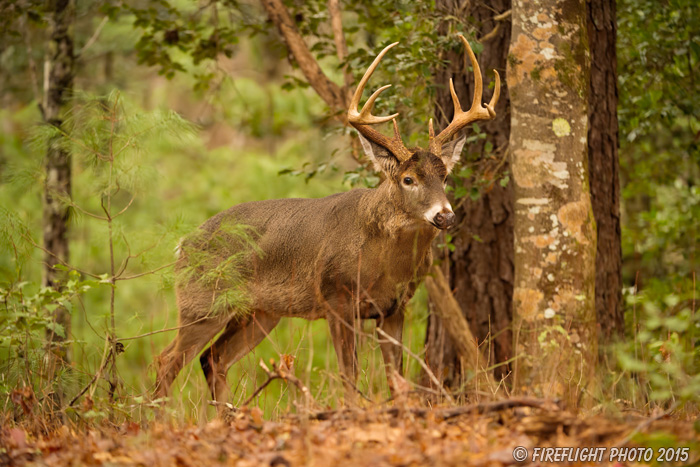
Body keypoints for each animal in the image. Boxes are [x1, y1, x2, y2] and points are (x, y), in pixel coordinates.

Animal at [156, 35, 500, 402]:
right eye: (408, 179)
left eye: (445, 176)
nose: (445, 216)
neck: (384, 262)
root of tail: (183, 244)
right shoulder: (337, 299)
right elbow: (348, 374)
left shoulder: (394, 308)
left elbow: (396, 378)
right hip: (202, 302)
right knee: (167, 360)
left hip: (260, 312)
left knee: (213, 358)